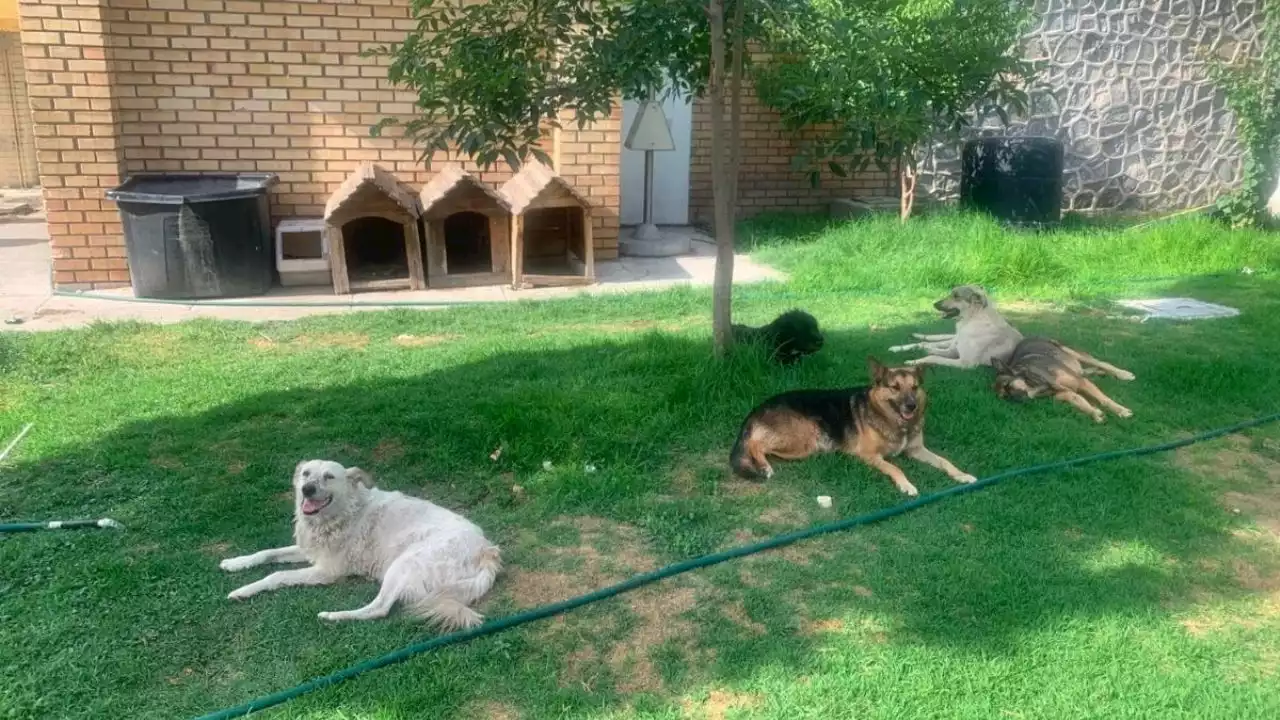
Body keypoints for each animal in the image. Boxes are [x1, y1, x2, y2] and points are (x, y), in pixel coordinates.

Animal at [220, 456, 499, 625]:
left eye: (329, 477)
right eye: (306, 474)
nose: (307, 489)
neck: (343, 512)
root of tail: (488, 550)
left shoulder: (326, 571)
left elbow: (276, 575)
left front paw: (243, 590)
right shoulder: (309, 549)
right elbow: (266, 553)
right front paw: (235, 564)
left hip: (404, 564)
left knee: (380, 608)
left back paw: (332, 616)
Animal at [732, 356, 977, 491]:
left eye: (914, 387)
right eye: (895, 387)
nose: (911, 406)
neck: (892, 420)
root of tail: (756, 410)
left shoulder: (917, 450)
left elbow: (945, 462)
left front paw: (962, 474)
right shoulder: (870, 456)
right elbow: (894, 467)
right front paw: (906, 485)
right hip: (805, 438)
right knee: (755, 445)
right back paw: (764, 466)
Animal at [890, 283, 1018, 366]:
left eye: (956, 296)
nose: (934, 304)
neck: (971, 320)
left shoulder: (963, 362)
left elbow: (932, 355)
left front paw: (914, 360)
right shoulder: (953, 350)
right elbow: (927, 347)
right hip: (952, 340)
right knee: (933, 339)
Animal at [993, 335, 1136, 420]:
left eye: (1008, 385)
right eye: (1004, 397)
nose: (1015, 400)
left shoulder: (1081, 383)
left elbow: (1104, 400)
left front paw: (1120, 410)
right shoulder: (1067, 394)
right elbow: (1081, 403)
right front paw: (1094, 413)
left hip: (1070, 352)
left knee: (1101, 363)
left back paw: (1123, 374)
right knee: (1088, 370)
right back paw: (1100, 373)